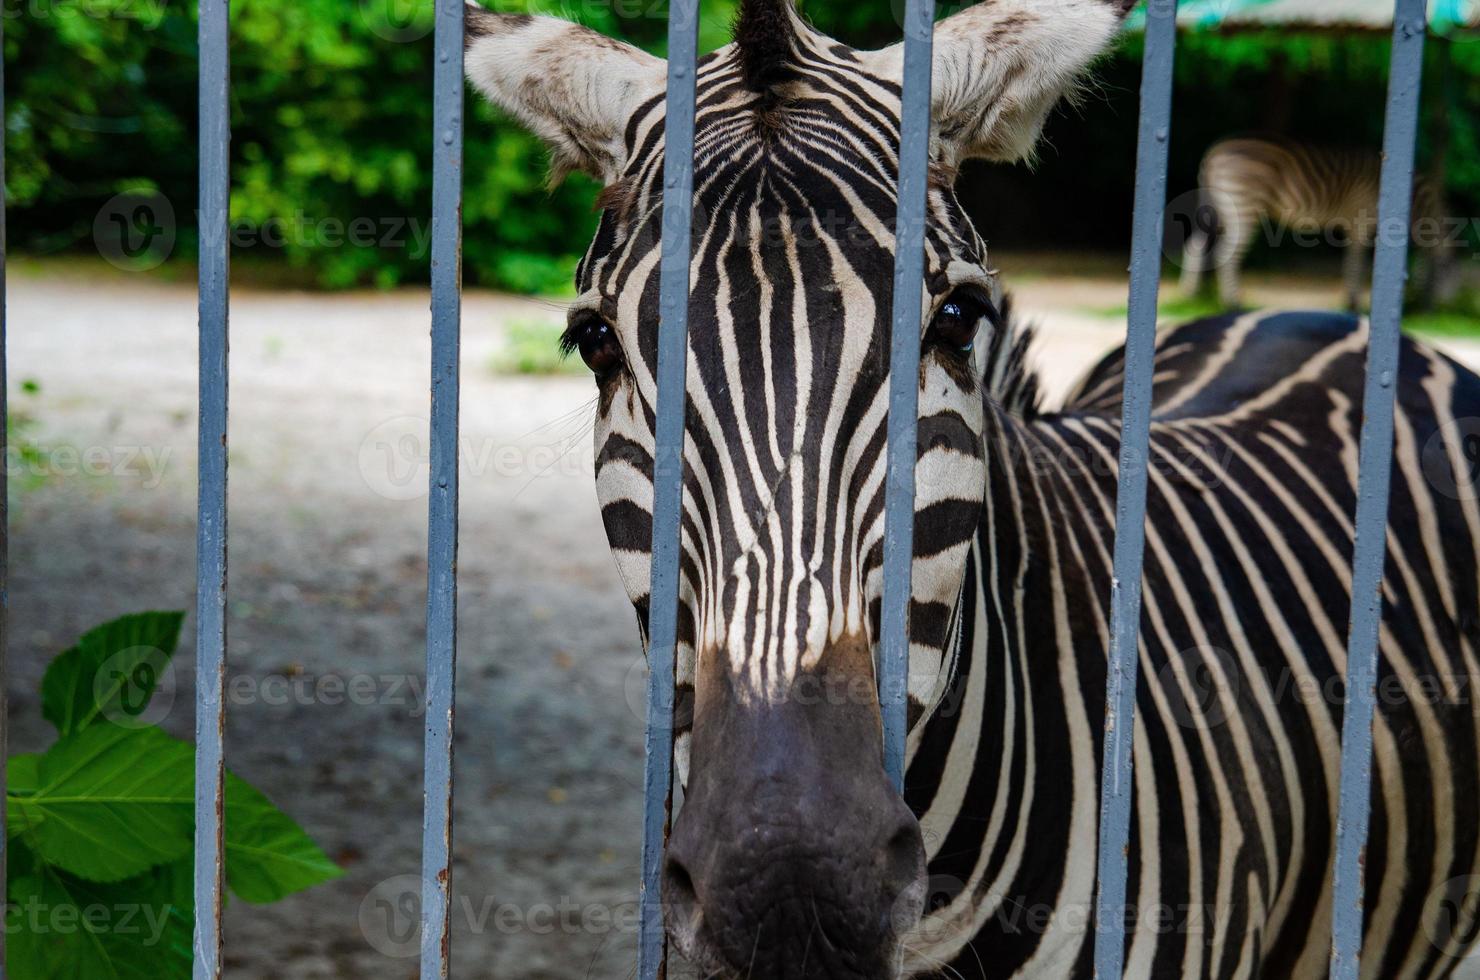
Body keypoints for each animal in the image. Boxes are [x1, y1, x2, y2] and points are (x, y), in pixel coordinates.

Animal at [1178, 136, 1456, 312]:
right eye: (1445, 268)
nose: (1438, 309)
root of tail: (1214, 153)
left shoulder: (1353, 222)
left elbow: (1351, 260)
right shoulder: (1361, 216)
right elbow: (1356, 262)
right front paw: (1353, 304)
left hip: (1218, 208)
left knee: (1195, 245)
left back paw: (1191, 296)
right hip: (1242, 205)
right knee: (1227, 253)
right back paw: (1232, 303)